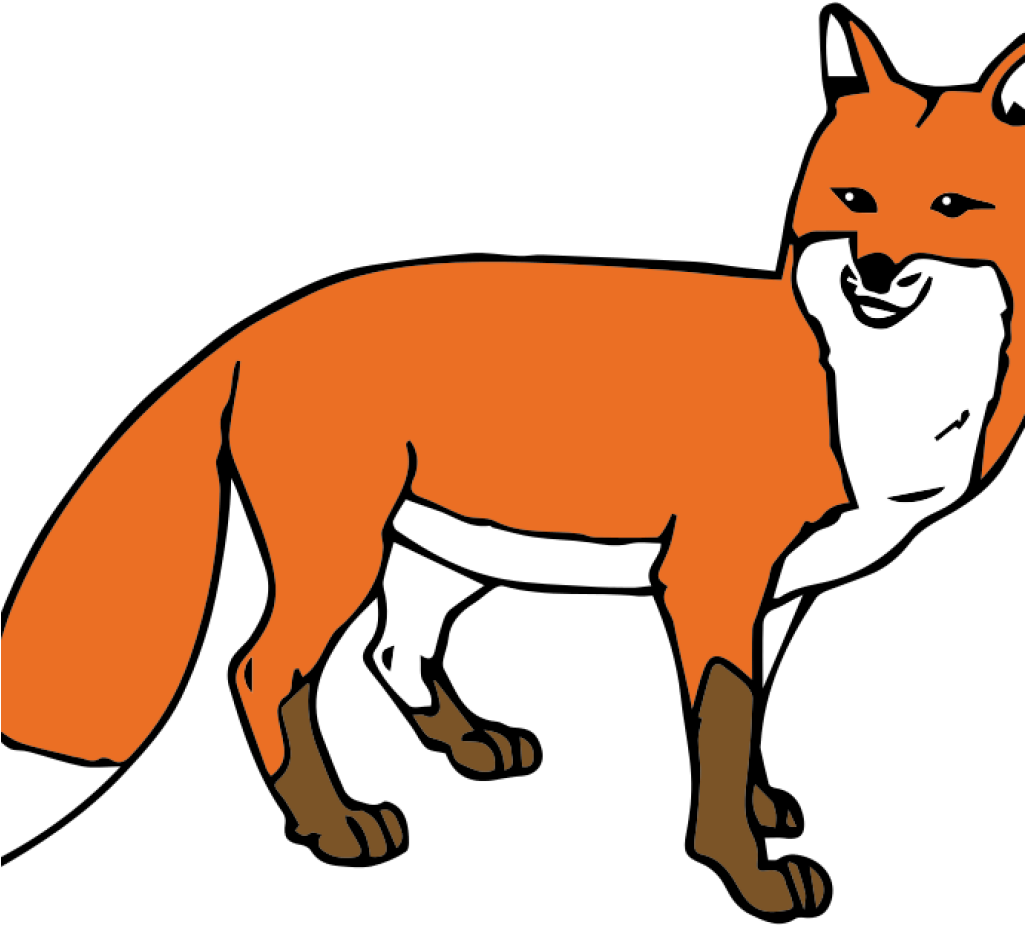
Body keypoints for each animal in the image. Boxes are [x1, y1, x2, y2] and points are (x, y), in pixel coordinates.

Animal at [2, 14, 1022, 909]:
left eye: (949, 208)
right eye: (854, 201)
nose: (873, 270)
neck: (864, 391)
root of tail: (267, 323)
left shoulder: (777, 593)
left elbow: (742, 716)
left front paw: (760, 812)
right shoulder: (709, 577)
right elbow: (725, 729)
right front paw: (742, 867)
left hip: (439, 556)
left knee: (393, 650)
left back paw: (464, 741)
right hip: (341, 554)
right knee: (268, 671)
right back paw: (333, 823)